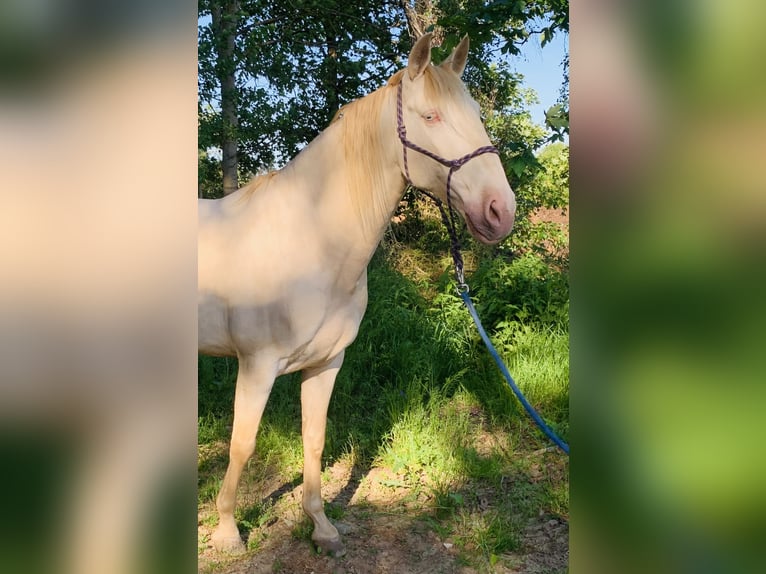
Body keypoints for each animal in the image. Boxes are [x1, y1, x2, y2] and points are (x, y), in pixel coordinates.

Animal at [198, 33, 516, 556]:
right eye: (431, 116)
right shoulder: (257, 364)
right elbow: (242, 443)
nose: (500, 210)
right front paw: (227, 531)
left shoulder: (327, 363)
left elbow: (314, 438)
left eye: (476, 114)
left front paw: (321, 527)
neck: (309, 237)